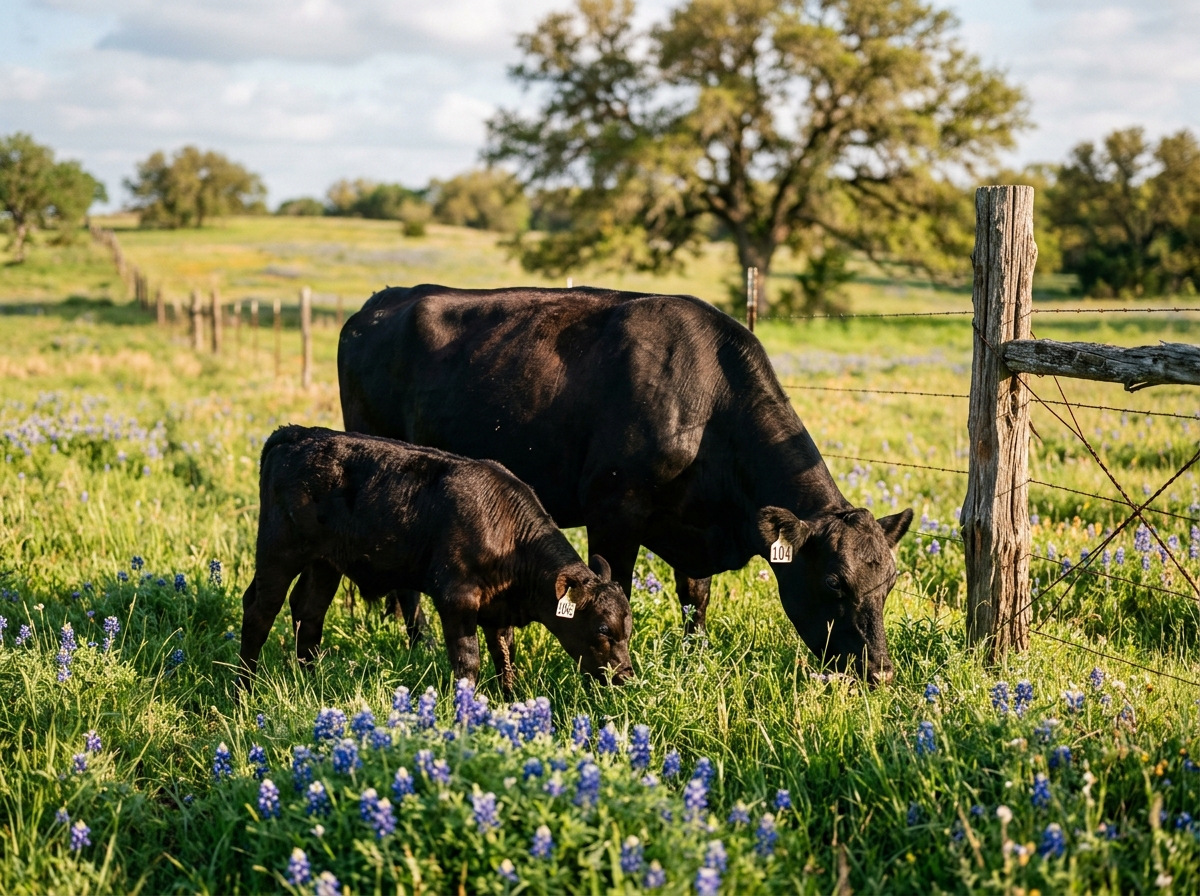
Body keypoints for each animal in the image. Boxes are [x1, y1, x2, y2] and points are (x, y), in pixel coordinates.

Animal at [238, 425, 634, 694]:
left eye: (628, 629)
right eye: (602, 629)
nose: (626, 676)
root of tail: (296, 434)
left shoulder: (497, 609)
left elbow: (505, 656)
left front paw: (511, 700)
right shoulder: (457, 598)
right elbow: (468, 662)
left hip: (324, 562)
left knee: (309, 612)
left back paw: (311, 681)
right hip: (278, 551)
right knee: (260, 610)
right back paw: (244, 688)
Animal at [338, 286, 912, 684]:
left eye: (889, 584)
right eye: (834, 584)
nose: (881, 673)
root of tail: (380, 302)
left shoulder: (692, 528)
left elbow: (695, 599)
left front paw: (696, 656)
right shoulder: (614, 512)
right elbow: (620, 590)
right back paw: (416, 643)